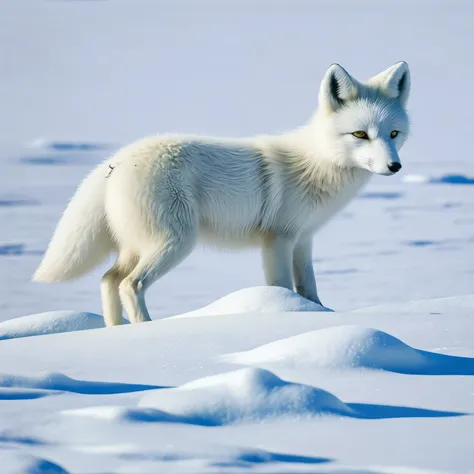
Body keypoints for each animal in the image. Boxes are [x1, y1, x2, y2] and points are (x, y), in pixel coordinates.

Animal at [34, 61, 412, 324]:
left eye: (393, 133)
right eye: (360, 134)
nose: (394, 167)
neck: (317, 163)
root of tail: (115, 161)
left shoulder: (303, 239)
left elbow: (310, 290)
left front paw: (318, 316)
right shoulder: (278, 240)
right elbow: (283, 287)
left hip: (137, 245)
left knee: (107, 280)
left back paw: (116, 332)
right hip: (173, 242)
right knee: (130, 284)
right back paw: (146, 328)